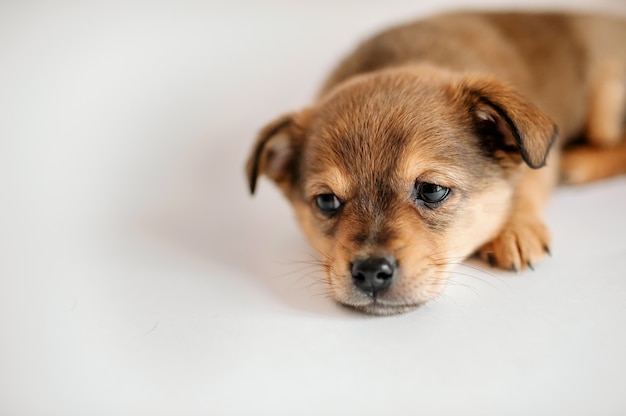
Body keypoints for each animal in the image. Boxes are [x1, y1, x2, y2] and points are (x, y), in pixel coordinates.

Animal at [244, 12, 624, 316]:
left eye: (431, 190)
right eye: (326, 201)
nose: (370, 272)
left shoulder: (542, 157)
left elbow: (526, 182)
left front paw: (515, 229)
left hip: (608, 95)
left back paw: (581, 164)